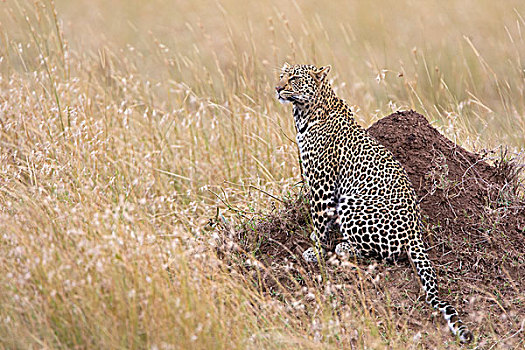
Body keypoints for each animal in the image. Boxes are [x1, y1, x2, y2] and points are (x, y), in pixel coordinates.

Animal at [276, 62, 472, 342]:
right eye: (281, 75)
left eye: (293, 79)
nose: (277, 88)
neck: (304, 113)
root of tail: (415, 233)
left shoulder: (322, 183)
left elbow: (320, 220)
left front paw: (316, 250)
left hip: (352, 204)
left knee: (379, 254)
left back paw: (344, 248)